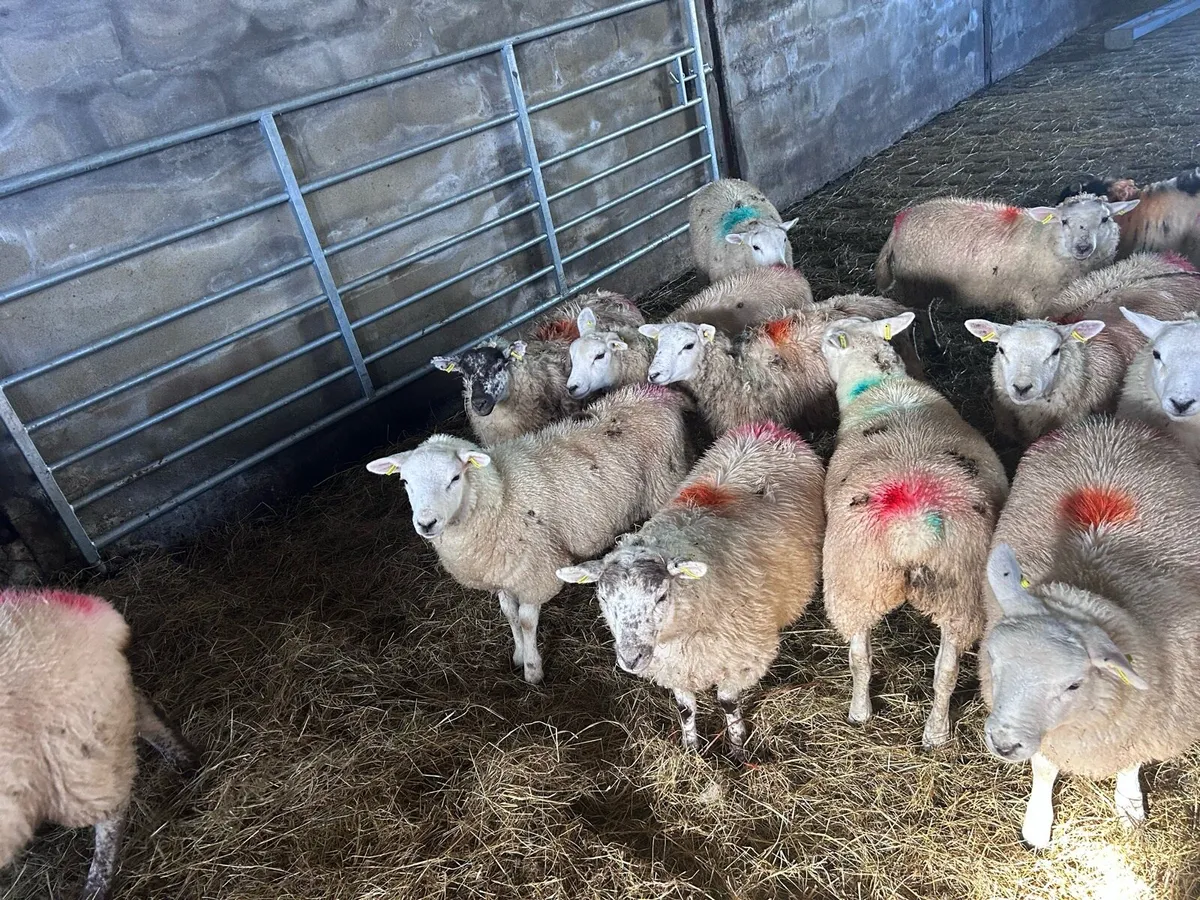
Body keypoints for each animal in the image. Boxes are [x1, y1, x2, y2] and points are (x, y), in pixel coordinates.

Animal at [365, 383, 696, 685]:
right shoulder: (503, 573)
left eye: (455, 477)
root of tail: (657, 392)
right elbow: (509, 613)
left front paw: (533, 670)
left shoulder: (536, 572)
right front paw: (517, 655)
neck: (500, 496)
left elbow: (525, 621)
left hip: (665, 484)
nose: (426, 523)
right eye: (405, 481)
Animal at [555, 420, 824, 760]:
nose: (631, 659)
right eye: (603, 598)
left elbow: (727, 703)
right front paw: (691, 750)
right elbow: (685, 709)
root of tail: (766, 428)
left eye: (661, 596)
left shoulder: (739, 658)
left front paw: (737, 750)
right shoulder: (674, 667)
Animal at [820, 312, 1008, 748]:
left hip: (853, 582)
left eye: (828, 339)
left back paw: (860, 713)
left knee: (859, 659)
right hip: (960, 590)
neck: (880, 383)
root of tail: (912, 529)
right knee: (947, 671)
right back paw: (936, 733)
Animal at [874, 193, 1140, 316]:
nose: (1083, 248)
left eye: (1104, 219)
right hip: (916, 286)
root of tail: (899, 224)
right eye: (1064, 221)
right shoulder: (1034, 303)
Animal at [980, 416, 1200, 848]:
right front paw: (1037, 822)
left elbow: (1131, 762)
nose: (1003, 743)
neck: (1089, 585)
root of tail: (1109, 424)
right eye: (994, 661)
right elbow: (1044, 769)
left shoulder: (1147, 722)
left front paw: (1130, 804)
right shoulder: (1052, 738)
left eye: (1074, 685)